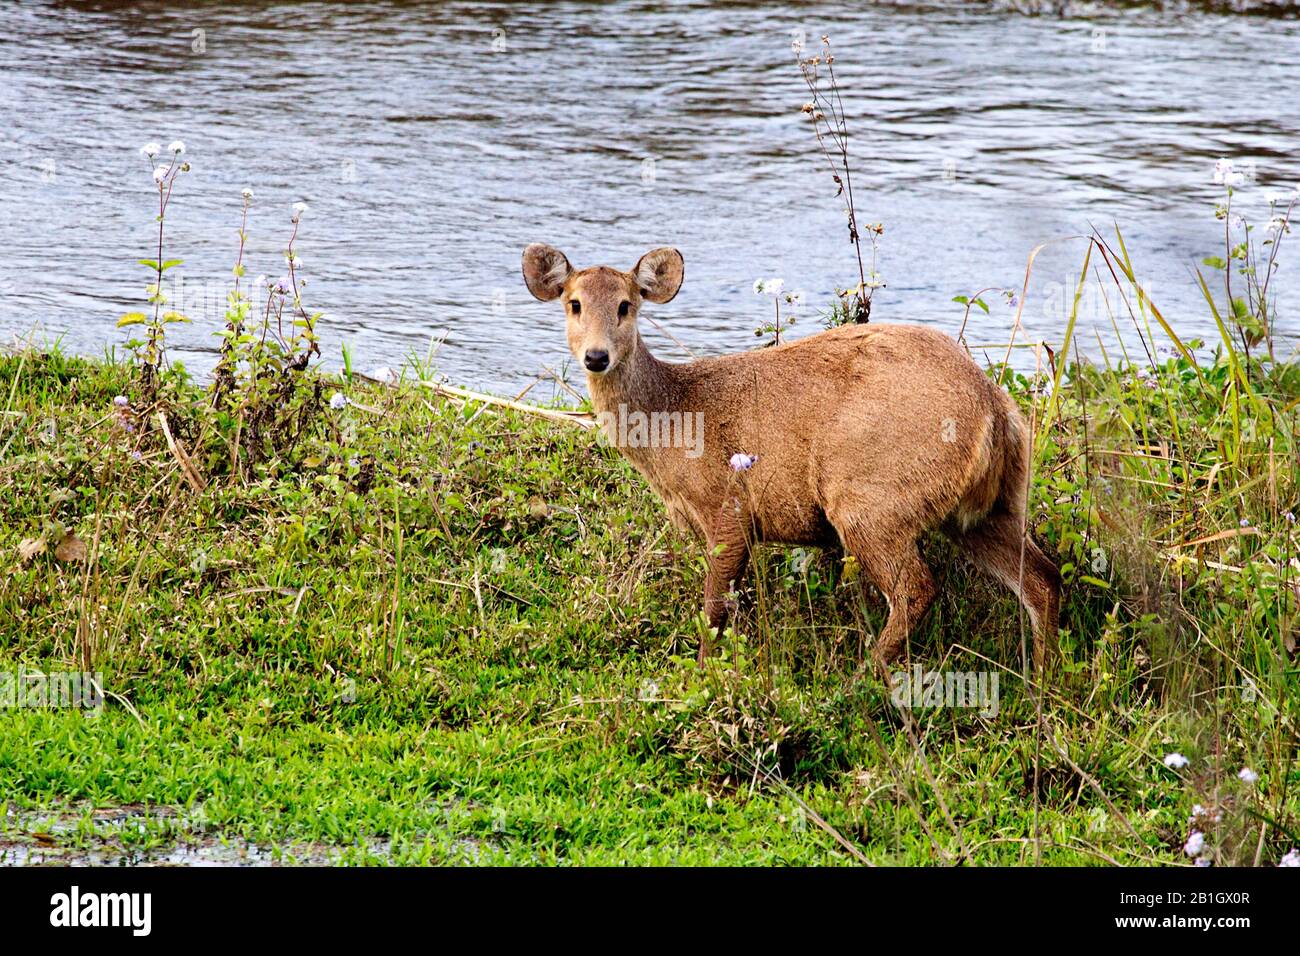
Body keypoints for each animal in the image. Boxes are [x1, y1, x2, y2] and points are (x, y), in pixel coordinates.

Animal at [522, 243, 1060, 676]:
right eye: (573, 303)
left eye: (625, 305)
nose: (596, 357)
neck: (672, 424)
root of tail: (995, 410)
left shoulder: (729, 505)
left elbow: (714, 608)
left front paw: (702, 676)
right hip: (986, 507)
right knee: (1043, 578)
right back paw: (1044, 679)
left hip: (869, 497)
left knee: (917, 587)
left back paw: (864, 677)